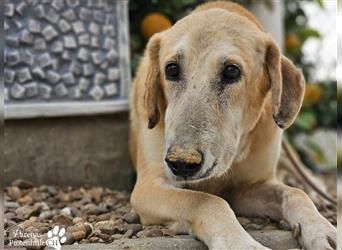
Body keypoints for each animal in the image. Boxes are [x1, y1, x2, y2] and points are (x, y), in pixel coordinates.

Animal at [129, 0, 336, 249]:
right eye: (171, 69)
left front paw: (321, 229)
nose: (181, 163)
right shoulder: (147, 187)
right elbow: (207, 201)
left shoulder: (248, 187)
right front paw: (239, 242)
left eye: (231, 71)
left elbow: (295, 193)